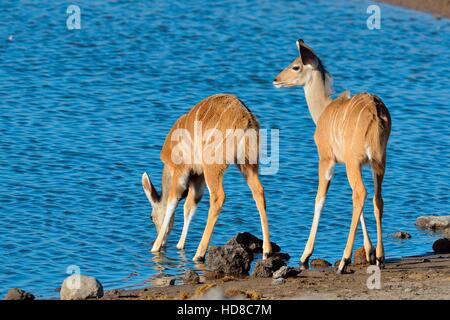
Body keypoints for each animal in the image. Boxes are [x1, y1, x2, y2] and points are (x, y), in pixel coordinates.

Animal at [142, 93, 272, 262]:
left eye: (151, 217)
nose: (162, 241)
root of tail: (245, 122)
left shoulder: (181, 170)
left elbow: (173, 201)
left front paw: (155, 247)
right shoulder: (198, 177)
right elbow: (189, 206)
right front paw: (179, 245)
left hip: (213, 166)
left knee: (218, 197)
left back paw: (199, 253)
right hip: (247, 163)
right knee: (259, 191)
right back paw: (267, 251)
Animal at [272, 39, 392, 272]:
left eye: (296, 66)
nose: (276, 80)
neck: (324, 110)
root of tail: (376, 113)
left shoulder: (327, 159)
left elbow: (319, 200)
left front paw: (305, 256)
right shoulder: (351, 163)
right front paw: (370, 253)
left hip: (355, 162)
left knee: (361, 193)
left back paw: (344, 261)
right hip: (378, 162)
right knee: (376, 198)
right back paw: (381, 257)